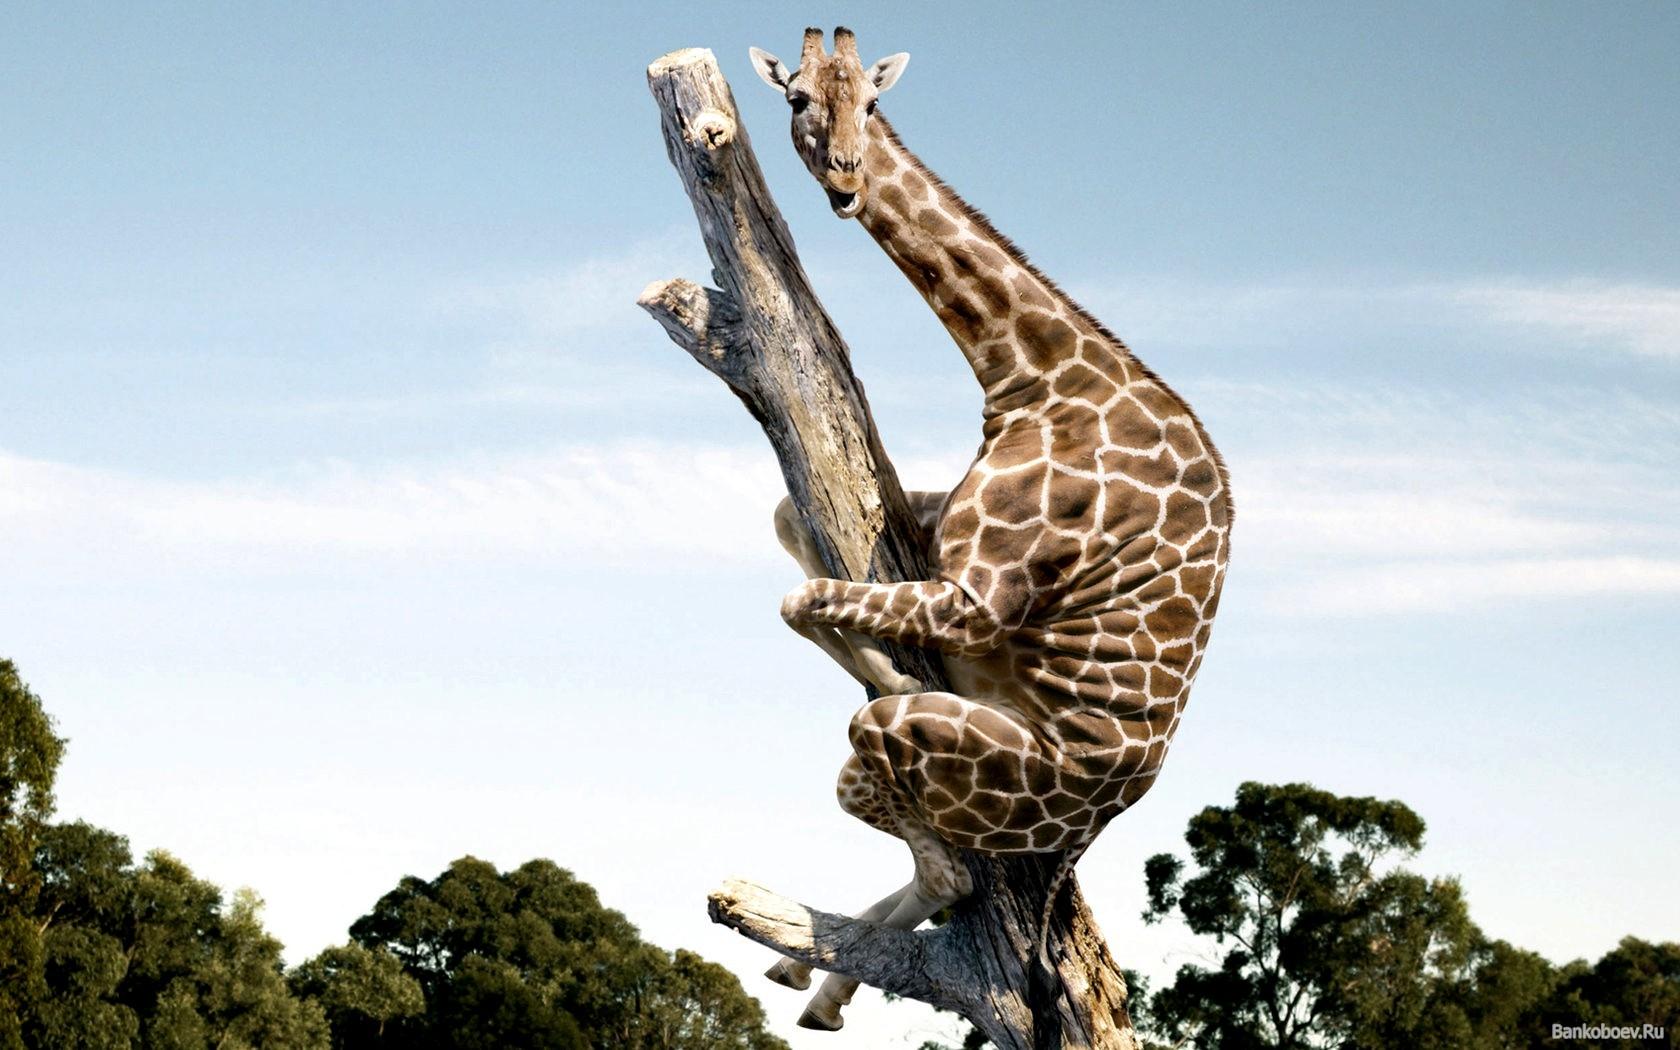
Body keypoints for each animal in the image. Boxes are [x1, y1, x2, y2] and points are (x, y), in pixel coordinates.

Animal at [749, 28, 1233, 1031]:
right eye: (798, 98)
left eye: (873, 104)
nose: (847, 181)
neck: (1034, 374)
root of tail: (1094, 821)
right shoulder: (934, 540)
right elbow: (789, 532)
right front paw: (874, 650)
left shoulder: (978, 600)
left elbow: (801, 597)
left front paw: (889, 663)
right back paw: (809, 983)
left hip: (929, 752)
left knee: (943, 866)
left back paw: (819, 980)